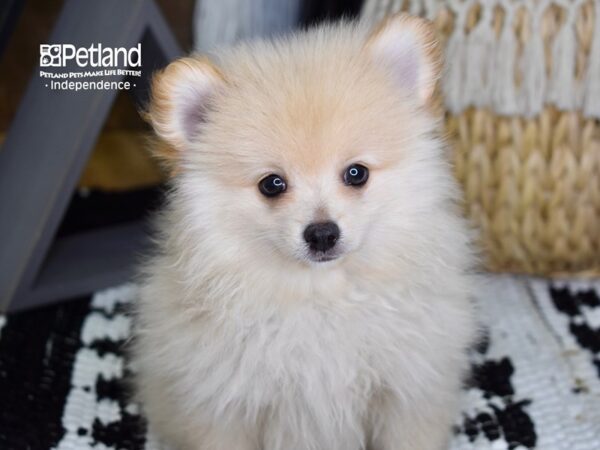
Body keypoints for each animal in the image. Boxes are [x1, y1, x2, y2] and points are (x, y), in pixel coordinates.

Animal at [132, 12, 478, 450]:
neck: (321, 298)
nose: (322, 234)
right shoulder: (228, 406)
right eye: (272, 184)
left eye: (356, 173)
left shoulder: (407, 391)